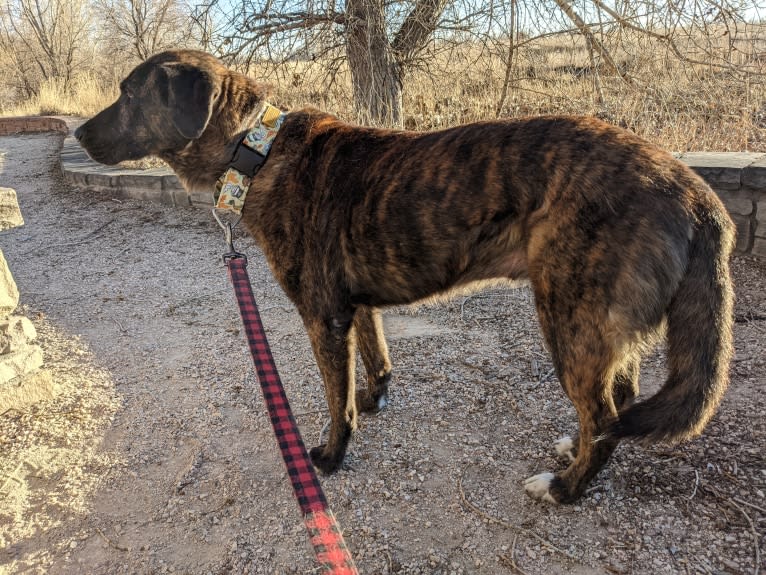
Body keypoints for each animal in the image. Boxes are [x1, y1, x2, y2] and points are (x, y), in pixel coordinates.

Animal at [76, 50, 736, 504]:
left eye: (128, 94)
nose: (78, 132)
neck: (255, 151)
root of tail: (695, 192)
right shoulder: (357, 306)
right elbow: (377, 358)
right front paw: (374, 398)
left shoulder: (323, 317)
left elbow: (333, 399)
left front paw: (332, 454)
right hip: (601, 328)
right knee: (616, 407)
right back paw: (574, 452)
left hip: (570, 321)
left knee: (602, 416)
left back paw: (565, 488)